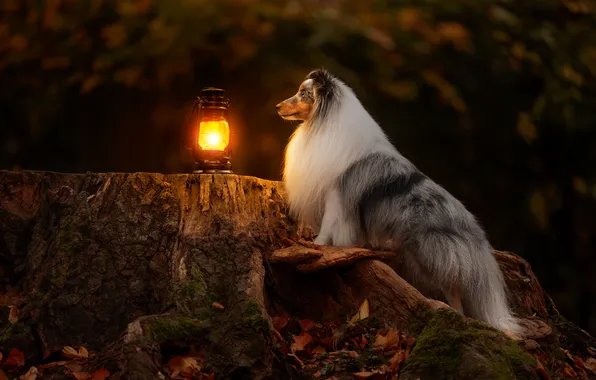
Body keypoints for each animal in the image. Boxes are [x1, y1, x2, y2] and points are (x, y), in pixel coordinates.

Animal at [278, 69, 520, 336]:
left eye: (303, 93)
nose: (278, 107)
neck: (324, 125)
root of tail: (476, 233)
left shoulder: (335, 195)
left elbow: (328, 225)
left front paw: (318, 244)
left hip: (430, 254)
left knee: (453, 288)